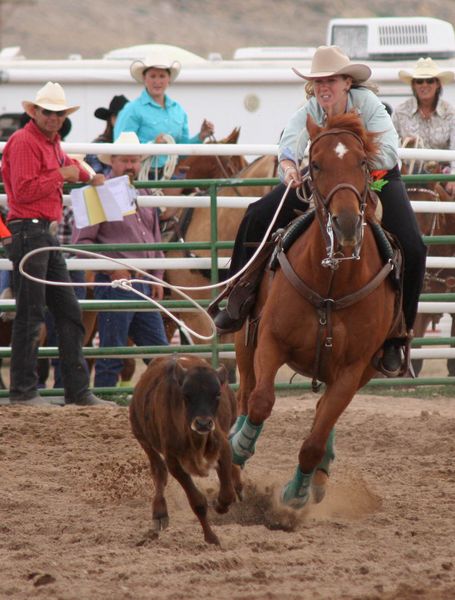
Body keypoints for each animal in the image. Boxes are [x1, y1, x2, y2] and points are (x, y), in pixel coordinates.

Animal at [129, 354, 242, 548]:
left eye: (217, 394)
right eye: (186, 395)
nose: (203, 423)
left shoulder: (223, 447)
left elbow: (227, 492)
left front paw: (221, 504)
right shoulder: (174, 462)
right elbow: (197, 502)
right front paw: (211, 537)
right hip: (143, 438)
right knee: (159, 472)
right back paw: (159, 513)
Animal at [232, 111, 400, 506]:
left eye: (363, 162)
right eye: (317, 164)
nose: (347, 224)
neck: (331, 286)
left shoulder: (352, 372)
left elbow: (316, 436)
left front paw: (296, 495)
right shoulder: (270, 341)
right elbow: (261, 401)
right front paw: (240, 446)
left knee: (324, 416)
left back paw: (318, 478)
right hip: (244, 339)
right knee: (245, 394)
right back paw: (233, 454)